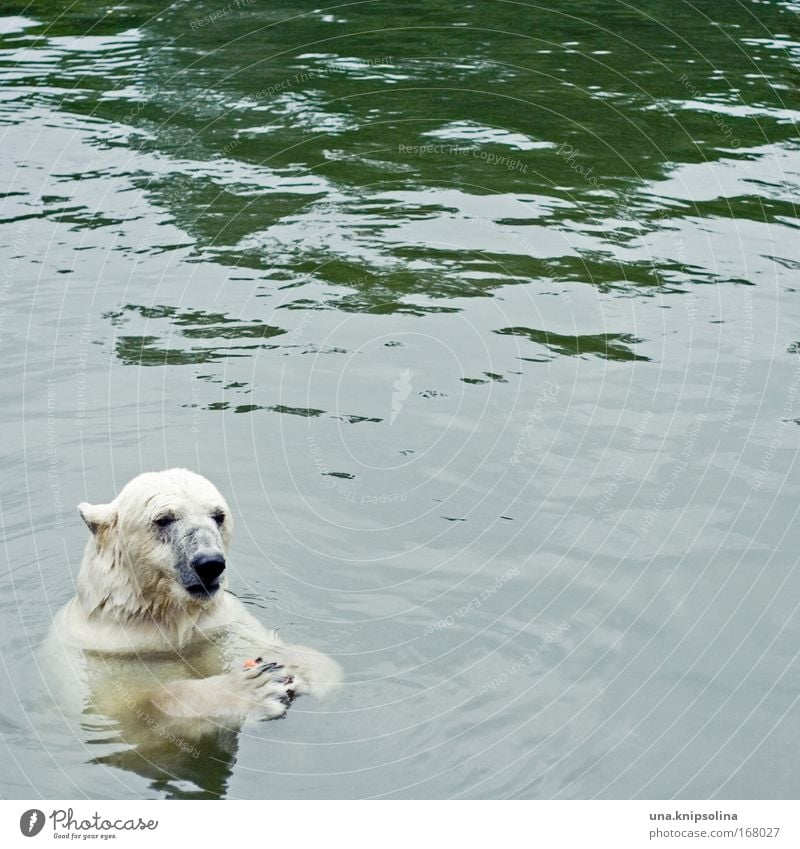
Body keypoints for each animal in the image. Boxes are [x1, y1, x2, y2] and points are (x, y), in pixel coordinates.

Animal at [47, 468, 340, 744]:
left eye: (218, 516)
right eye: (163, 519)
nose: (209, 563)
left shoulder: (217, 625)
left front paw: (304, 667)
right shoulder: (107, 655)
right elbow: (140, 708)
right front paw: (255, 689)